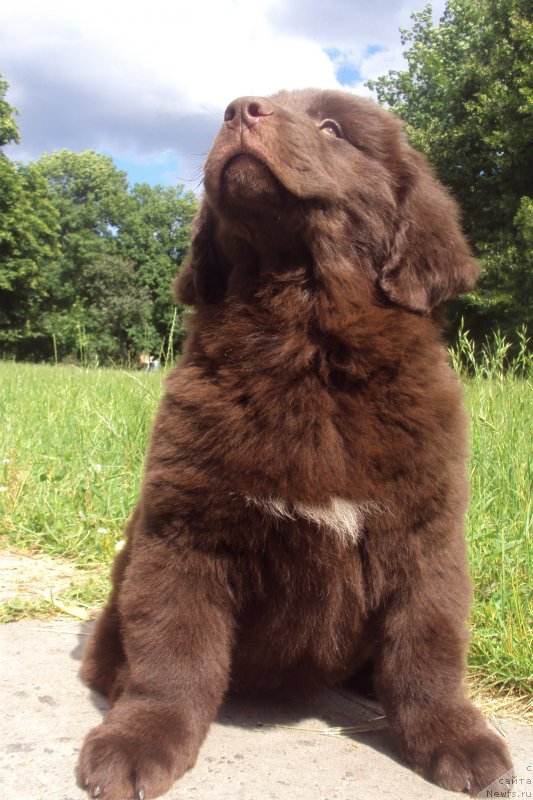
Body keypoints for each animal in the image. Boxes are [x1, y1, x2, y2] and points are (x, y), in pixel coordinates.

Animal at [78, 89, 512, 800]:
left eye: (333, 127)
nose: (237, 110)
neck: (304, 341)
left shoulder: (424, 535)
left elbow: (426, 648)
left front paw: (456, 738)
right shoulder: (183, 533)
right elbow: (172, 652)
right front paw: (139, 740)